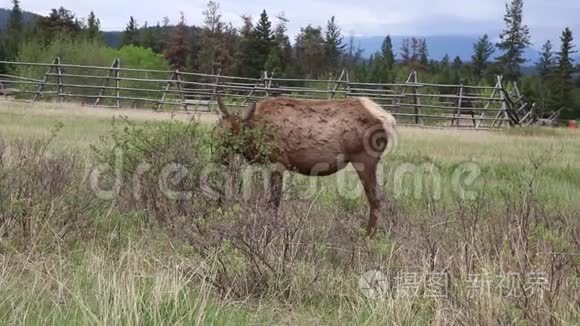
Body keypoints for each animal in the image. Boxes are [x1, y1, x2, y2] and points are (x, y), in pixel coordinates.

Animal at [215, 95, 396, 236]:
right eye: (217, 128)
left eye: (232, 132)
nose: (219, 156)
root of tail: (388, 119)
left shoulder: (277, 161)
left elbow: (274, 201)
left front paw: (271, 230)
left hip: (365, 158)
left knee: (375, 200)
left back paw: (368, 236)